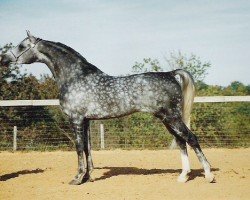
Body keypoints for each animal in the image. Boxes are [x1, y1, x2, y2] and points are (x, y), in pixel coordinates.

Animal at [0, 31, 215, 184]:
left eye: (21, 46)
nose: (4, 59)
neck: (75, 77)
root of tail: (171, 74)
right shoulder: (86, 121)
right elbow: (87, 149)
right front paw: (88, 177)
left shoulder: (76, 120)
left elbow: (79, 148)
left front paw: (77, 178)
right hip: (167, 119)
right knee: (181, 142)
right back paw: (183, 176)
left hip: (172, 117)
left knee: (191, 139)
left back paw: (208, 175)